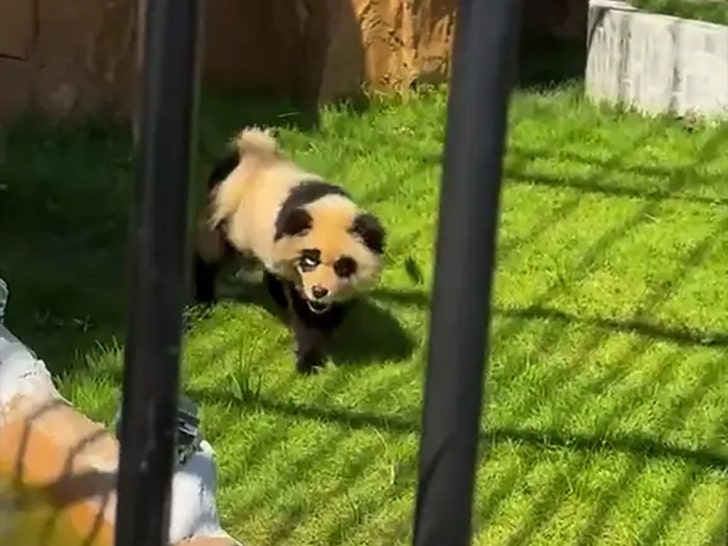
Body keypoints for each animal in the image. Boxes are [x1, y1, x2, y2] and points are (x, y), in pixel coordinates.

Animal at [193, 127, 386, 374]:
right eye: (310, 260)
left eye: (342, 265)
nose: (319, 291)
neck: (328, 206)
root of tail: (246, 155)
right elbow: (305, 315)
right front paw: (309, 361)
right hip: (227, 215)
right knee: (210, 254)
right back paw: (203, 302)